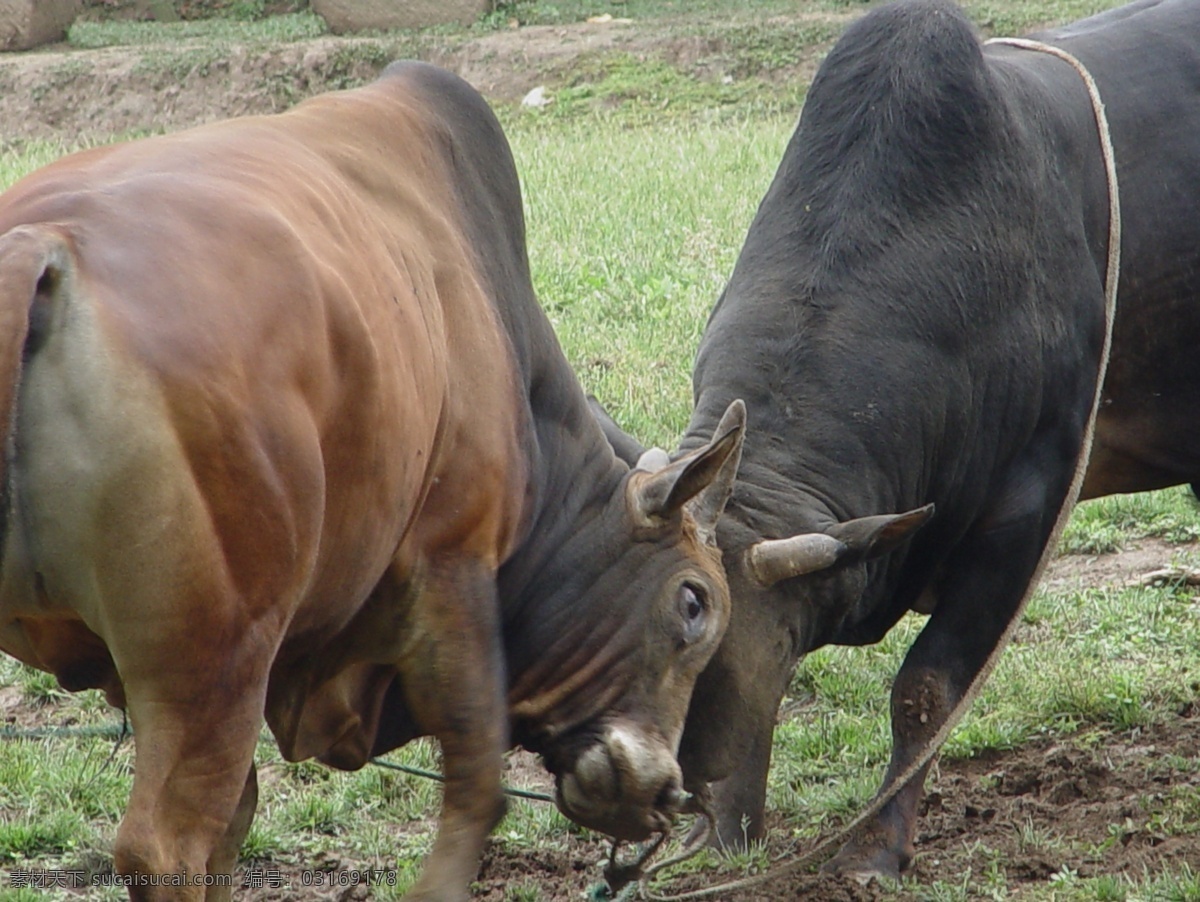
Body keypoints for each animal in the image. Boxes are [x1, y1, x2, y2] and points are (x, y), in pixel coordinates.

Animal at [0, 59, 748, 897]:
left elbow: (240, 818)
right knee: (165, 847)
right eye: (694, 603)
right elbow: (478, 791)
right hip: (214, 662)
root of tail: (41, 245)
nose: (665, 792)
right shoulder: (452, 568)